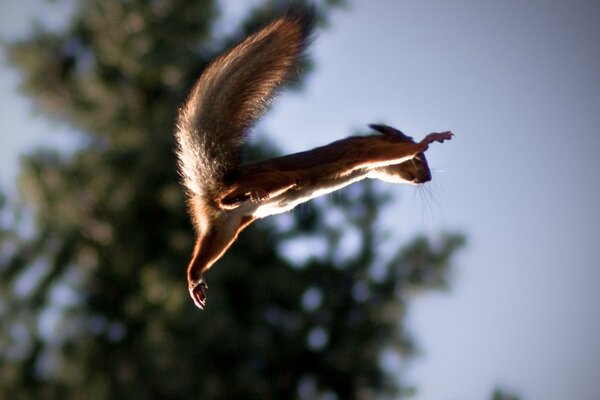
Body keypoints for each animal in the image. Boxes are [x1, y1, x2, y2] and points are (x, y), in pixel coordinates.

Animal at [176, 8, 452, 310]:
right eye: (420, 159)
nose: (427, 177)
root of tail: (214, 186)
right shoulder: (366, 151)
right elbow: (390, 153)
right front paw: (431, 138)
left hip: (225, 230)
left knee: (203, 252)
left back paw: (194, 279)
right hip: (272, 180)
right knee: (243, 193)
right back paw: (241, 196)